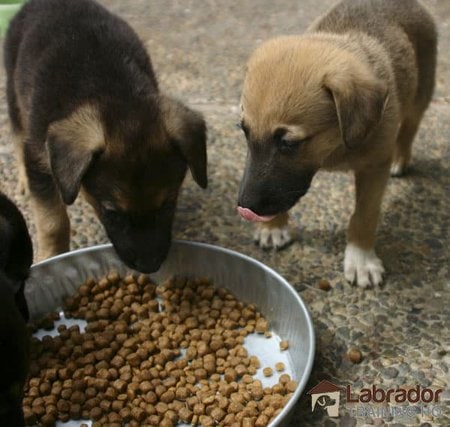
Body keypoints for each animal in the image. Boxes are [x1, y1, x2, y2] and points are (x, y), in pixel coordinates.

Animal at [3, 0, 207, 274]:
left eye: (169, 203)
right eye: (112, 213)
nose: (150, 267)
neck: (112, 93)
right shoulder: (39, 158)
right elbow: (53, 221)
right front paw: (52, 254)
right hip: (14, 92)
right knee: (17, 138)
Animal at [237, 0, 438, 288]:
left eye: (288, 143)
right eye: (244, 131)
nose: (245, 207)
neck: (335, 147)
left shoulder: (374, 167)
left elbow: (364, 215)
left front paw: (361, 258)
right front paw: (273, 226)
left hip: (421, 91)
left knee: (410, 126)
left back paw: (401, 158)